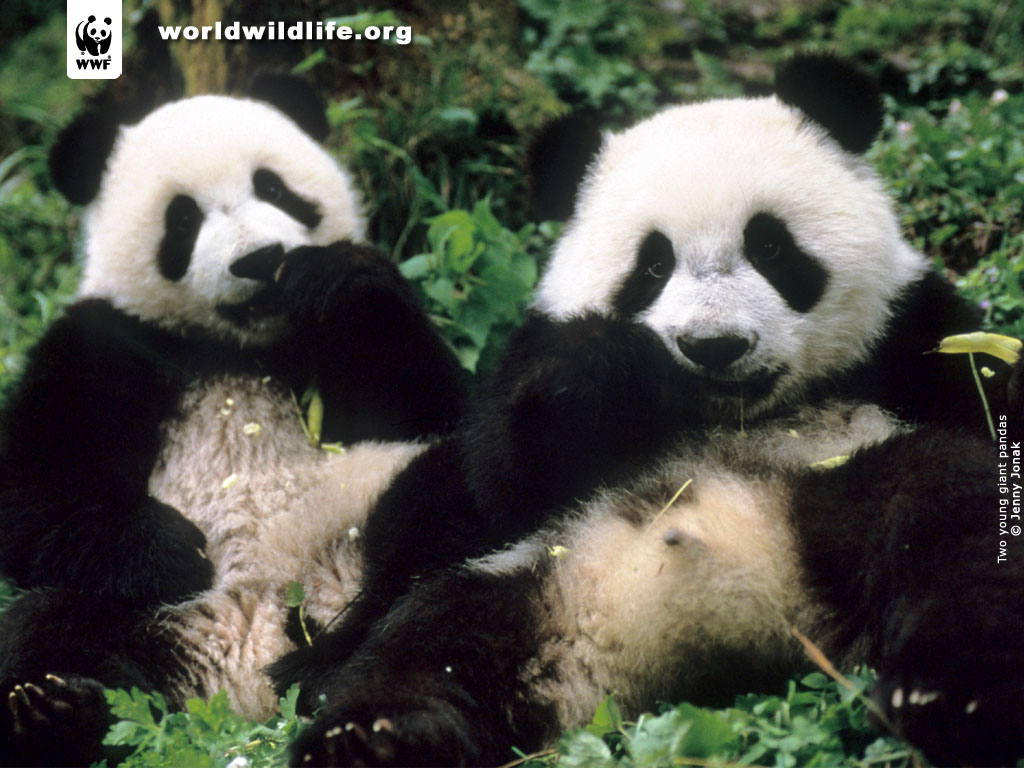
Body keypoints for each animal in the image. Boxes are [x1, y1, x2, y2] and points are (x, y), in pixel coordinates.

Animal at [0, 74, 465, 766]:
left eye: (273, 188)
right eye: (183, 218)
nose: (260, 259)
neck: (238, 348)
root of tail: (248, 661)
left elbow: (433, 404)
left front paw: (337, 279)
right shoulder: (105, 340)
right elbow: (32, 492)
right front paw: (174, 549)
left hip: (362, 519)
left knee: (441, 525)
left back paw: (345, 691)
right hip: (150, 618)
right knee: (47, 625)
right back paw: (56, 711)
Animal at [271, 55, 1024, 767]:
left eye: (770, 245)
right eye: (653, 266)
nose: (713, 346)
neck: (732, 413)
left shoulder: (910, 334)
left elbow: (987, 408)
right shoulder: (529, 373)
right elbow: (498, 476)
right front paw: (607, 367)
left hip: (840, 497)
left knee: (949, 522)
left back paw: (949, 698)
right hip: (532, 571)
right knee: (430, 639)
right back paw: (368, 739)